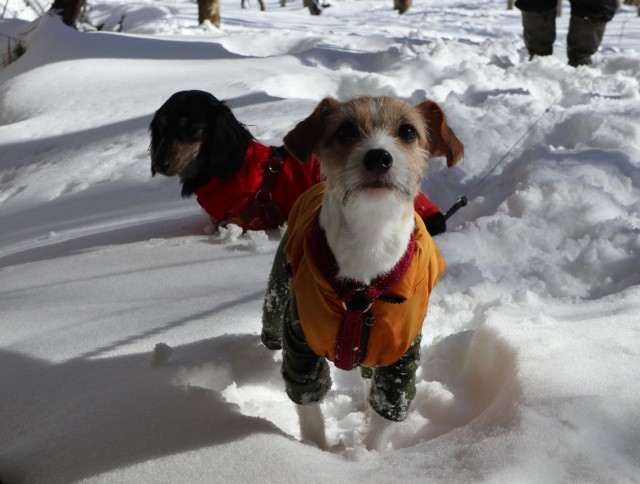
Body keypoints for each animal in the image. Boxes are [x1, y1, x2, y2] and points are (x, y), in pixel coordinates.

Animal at [262, 94, 462, 450]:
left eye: (408, 131)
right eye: (345, 131)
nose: (378, 156)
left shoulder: (402, 355)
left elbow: (386, 407)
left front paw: (367, 454)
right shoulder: (299, 340)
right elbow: (308, 402)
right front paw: (315, 451)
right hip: (278, 292)